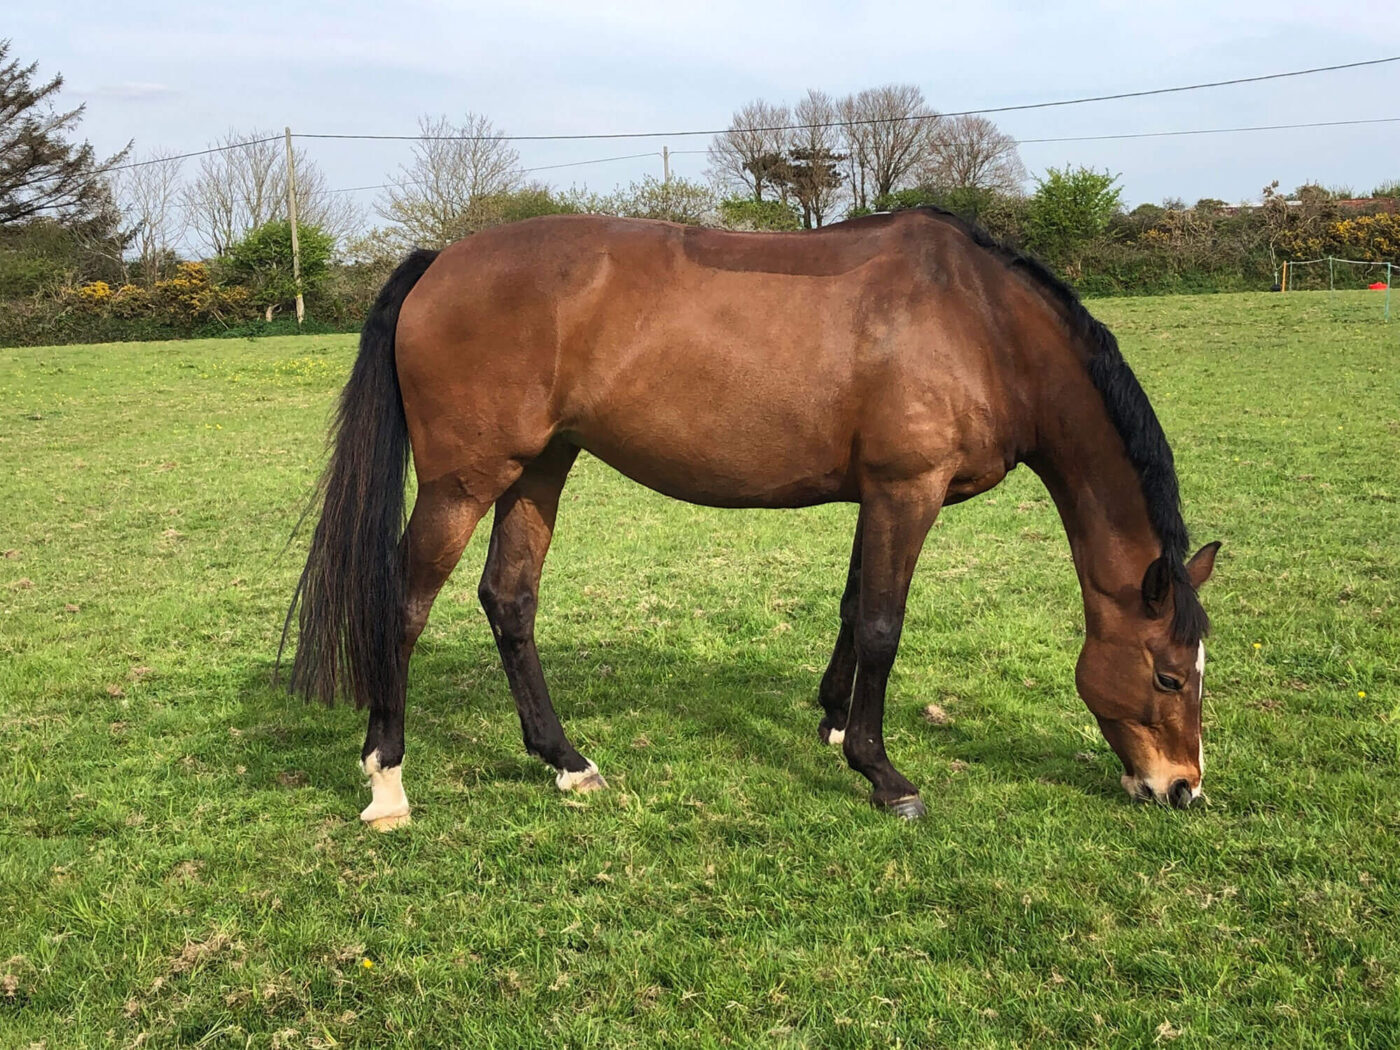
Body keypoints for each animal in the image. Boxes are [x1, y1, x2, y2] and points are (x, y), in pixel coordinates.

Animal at [281, 207, 1215, 828]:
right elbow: (884, 625)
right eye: (1169, 675)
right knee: (405, 604)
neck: (982, 325)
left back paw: (568, 763)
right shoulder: (907, 489)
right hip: (465, 482)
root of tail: (441, 261)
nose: (1183, 787)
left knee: (509, 600)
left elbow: (854, 611)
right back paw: (386, 781)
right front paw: (884, 775)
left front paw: (834, 722)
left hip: (539, 467)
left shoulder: (877, 494)